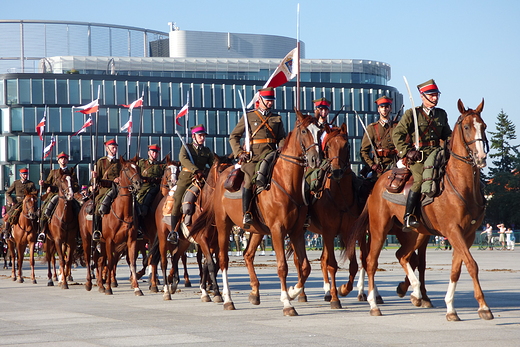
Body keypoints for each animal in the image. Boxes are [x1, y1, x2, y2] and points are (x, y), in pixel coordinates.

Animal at [189, 110, 318, 316]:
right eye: (305, 131)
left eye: (319, 130)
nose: (315, 158)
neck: (287, 181)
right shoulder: (277, 230)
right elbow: (282, 266)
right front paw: (287, 303)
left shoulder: (297, 231)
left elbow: (305, 266)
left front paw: (292, 292)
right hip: (223, 225)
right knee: (222, 260)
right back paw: (227, 299)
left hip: (257, 230)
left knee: (248, 254)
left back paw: (254, 293)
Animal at [350, 99, 492, 322]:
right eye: (467, 127)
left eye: (483, 126)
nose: (481, 157)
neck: (462, 186)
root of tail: (377, 183)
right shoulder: (453, 231)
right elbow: (472, 265)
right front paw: (484, 307)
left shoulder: (466, 235)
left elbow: (456, 269)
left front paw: (450, 308)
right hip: (379, 229)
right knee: (371, 261)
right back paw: (373, 303)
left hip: (416, 234)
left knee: (403, 255)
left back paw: (414, 292)